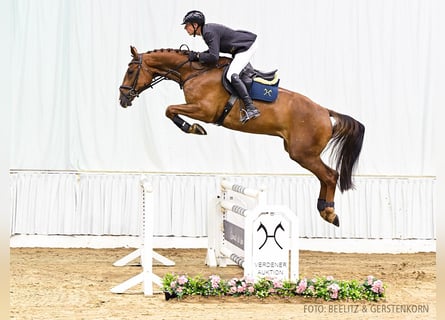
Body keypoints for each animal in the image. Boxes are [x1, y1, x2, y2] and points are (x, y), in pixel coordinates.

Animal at [119, 45, 364, 228]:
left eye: (130, 71)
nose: (122, 99)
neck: (195, 72)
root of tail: (325, 112)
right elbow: (169, 110)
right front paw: (194, 128)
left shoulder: (204, 110)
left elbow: (169, 109)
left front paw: (194, 128)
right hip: (301, 153)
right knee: (324, 177)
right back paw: (324, 209)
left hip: (303, 154)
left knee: (330, 175)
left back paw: (329, 212)